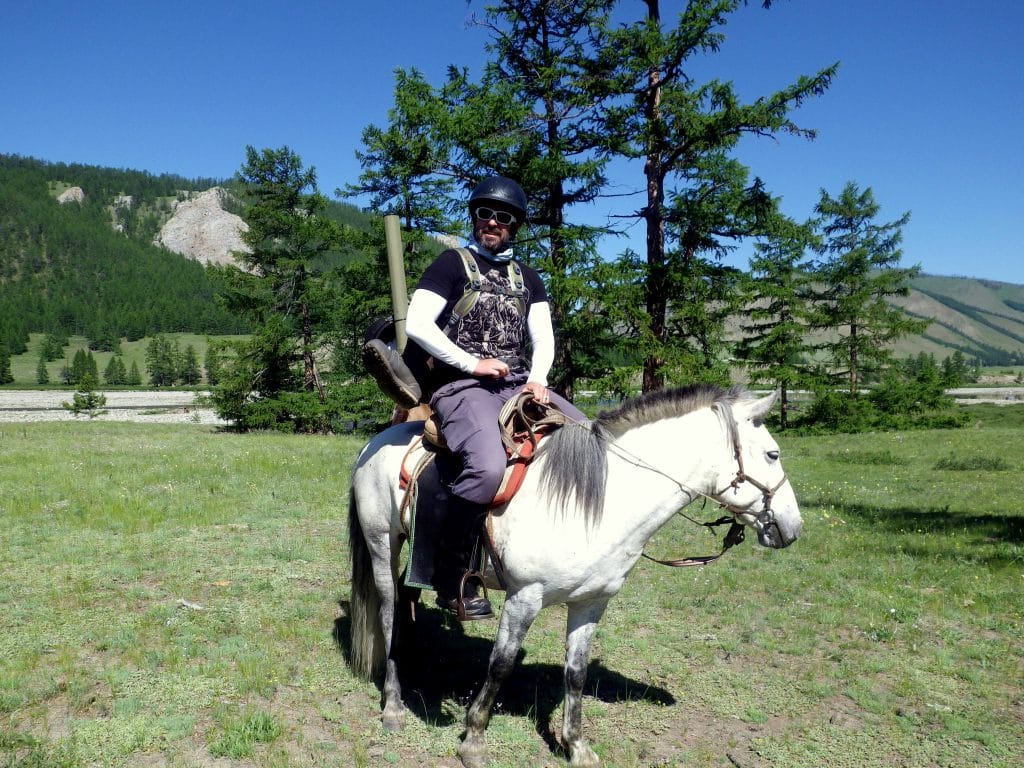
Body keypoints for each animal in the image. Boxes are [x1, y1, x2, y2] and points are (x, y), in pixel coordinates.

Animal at [348, 387, 802, 765]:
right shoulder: (524, 598)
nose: (793, 527)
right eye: (773, 454)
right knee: (388, 613)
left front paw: (576, 745)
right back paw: (393, 705)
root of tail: (378, 440)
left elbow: (576, 672)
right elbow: (501, 665)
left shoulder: (591, 602)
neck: (596, 503)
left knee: (408, 601)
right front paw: (474, 739)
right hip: (382, 544)